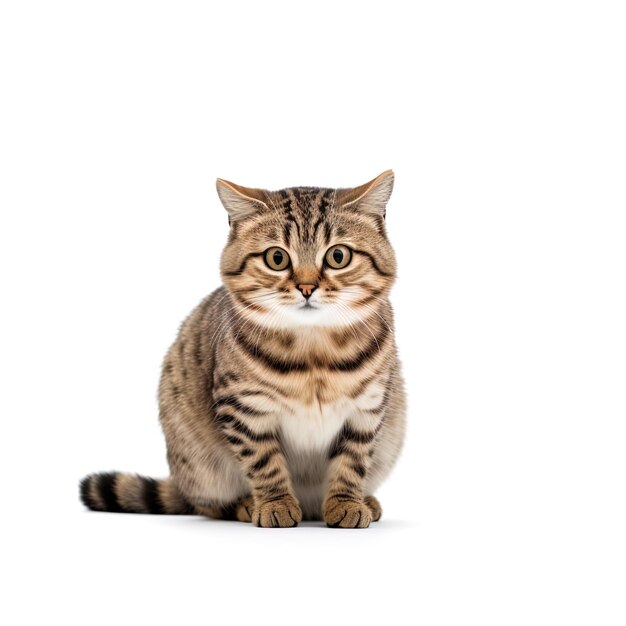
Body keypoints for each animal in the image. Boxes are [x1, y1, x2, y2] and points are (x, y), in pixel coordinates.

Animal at [80, 171, 404, 528]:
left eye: (337, 256)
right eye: (276, 258)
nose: (306, 287)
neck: (314, 353)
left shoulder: (367, 409)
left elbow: (351, 462)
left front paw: (347, 503)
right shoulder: (244, 409)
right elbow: (264, 462)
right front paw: (275, 503)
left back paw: (366, 501)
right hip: (200, 468)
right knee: (209, 505)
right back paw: (245, 504)